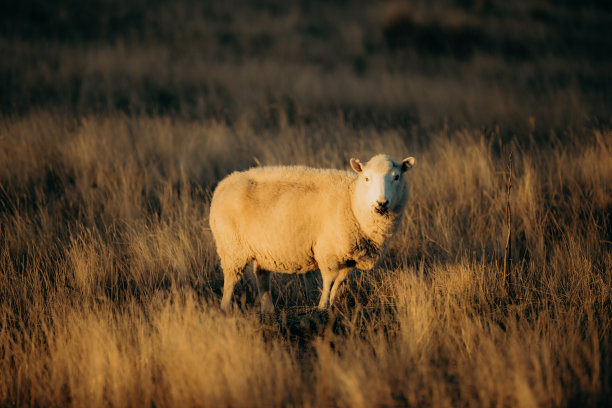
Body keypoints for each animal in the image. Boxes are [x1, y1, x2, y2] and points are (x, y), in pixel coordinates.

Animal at [208, 154, 414, 312]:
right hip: (232, 246)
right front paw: (322, 307)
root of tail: (224, 184)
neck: (352, 201)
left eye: (397, 177)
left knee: (262, 277)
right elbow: (329, 281)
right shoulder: (329, 252)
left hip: (261, 249)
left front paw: (331, 305)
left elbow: (339, 282)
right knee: (231, 279)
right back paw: (225, 308)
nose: (381, 203)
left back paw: (268, 310)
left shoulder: (348, 258)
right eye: (367, 178)